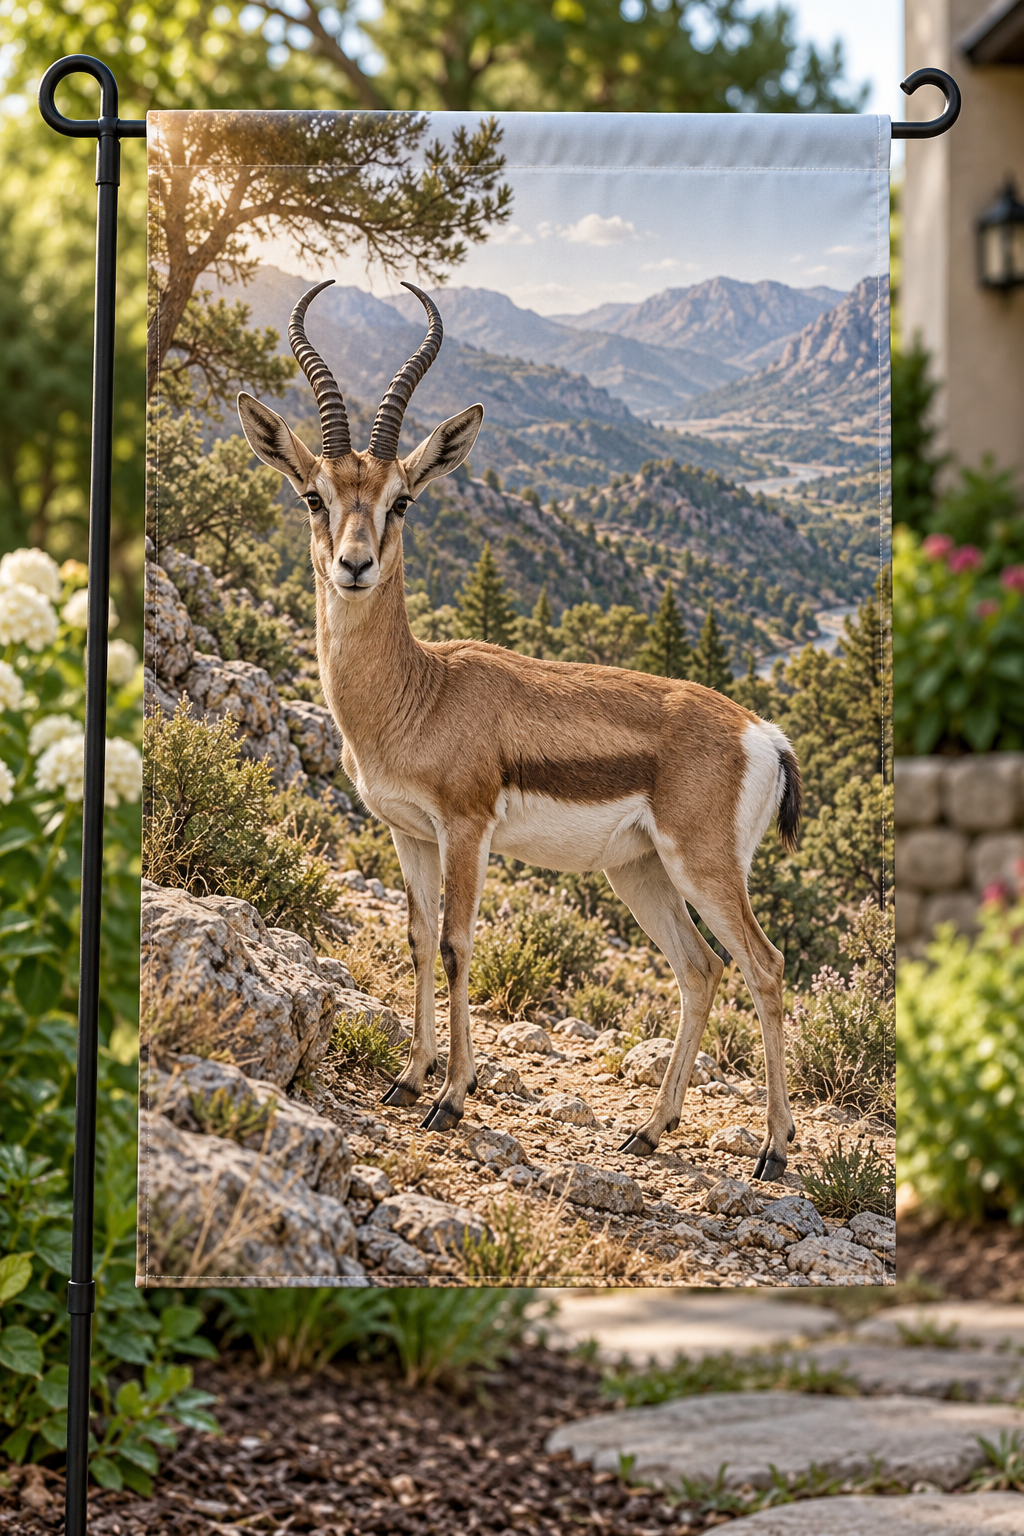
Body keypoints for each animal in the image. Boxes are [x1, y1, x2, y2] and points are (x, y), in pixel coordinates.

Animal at [237, 280, 803, 1180]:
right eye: (312, 495)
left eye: (401, 500)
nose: (355, 566)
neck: (420, 692)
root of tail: (763, 732)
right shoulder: (409, 834)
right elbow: (417, 939)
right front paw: (408, 1079)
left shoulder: (466, 830)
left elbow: (460, 944)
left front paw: (452, 1098)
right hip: (641, 873)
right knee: (701, 971)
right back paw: (649, 1130)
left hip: (705, 869)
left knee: (767, 967)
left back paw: (775, 1153)